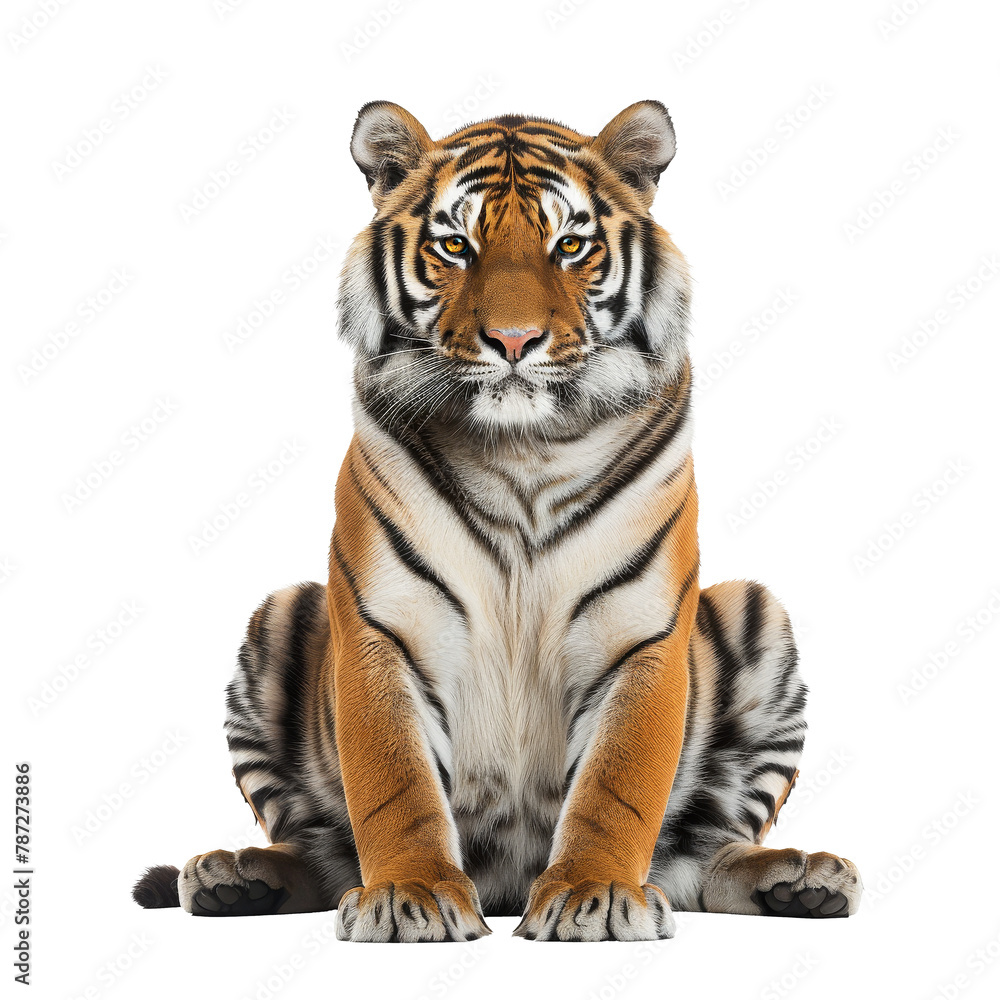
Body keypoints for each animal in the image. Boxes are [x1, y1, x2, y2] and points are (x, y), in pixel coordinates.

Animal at [132, 100, 862, 942]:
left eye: (570, 245)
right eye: (456, 245)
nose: (514, 342)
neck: (525, 448)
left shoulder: (639, 634)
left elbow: (617, 788)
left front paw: (594, 895)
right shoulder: (385, 627)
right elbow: (394, 784)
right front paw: (409, 894)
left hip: (756, 612)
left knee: (701, 856)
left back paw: (803, 878)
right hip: (279, 616)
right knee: (318, 849)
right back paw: (233, 877)